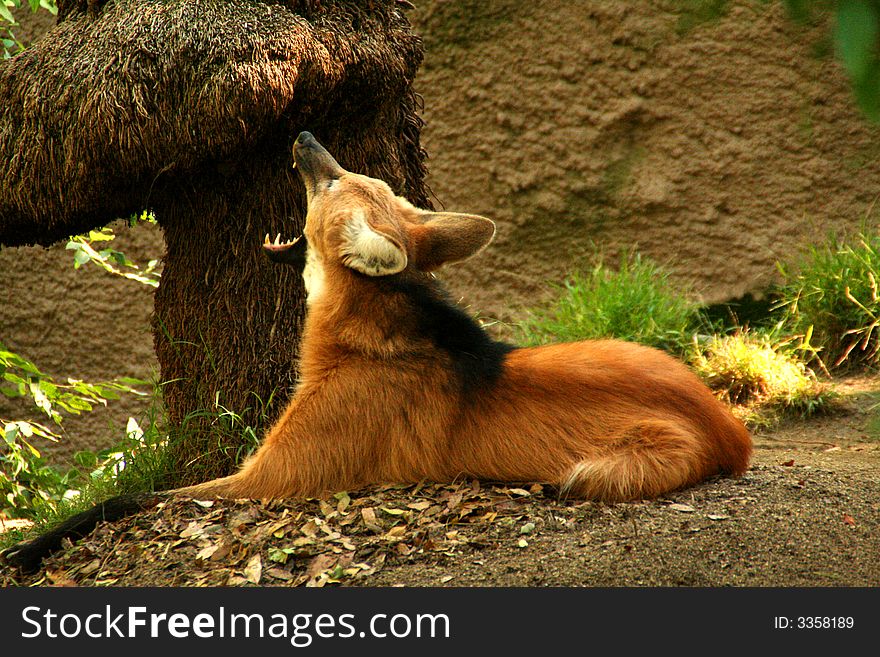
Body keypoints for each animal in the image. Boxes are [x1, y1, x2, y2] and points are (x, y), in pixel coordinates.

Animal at [3, 133, 752, 568]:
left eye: (334, 179)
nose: (306, 134)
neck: (362, 338)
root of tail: (734, 433)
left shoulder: (269, 479)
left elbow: (128, 500)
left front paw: (25, 548)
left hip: (613, 463)